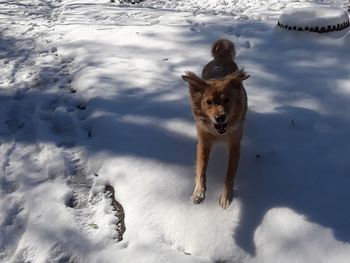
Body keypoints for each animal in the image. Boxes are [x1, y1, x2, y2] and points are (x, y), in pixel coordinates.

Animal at [183, 39, 249, 209]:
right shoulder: (203, 142)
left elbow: (229, 174)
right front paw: (199, 192)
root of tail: (221, 57)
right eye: (209, 102)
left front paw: (226, 196)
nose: (220, 118)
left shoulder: (235, 145)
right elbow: (201, 169)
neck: (219, 132)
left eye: (227, 100)